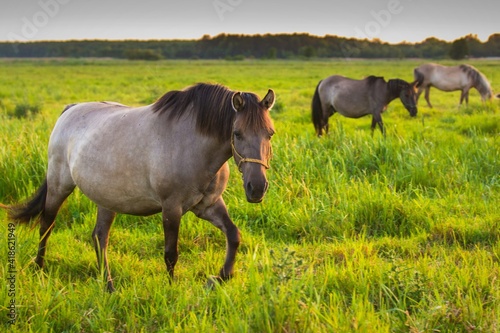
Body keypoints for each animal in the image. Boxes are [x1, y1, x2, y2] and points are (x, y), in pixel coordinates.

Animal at [1, 82, 276, 290]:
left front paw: (220, 278)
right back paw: (39, 269)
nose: (256, 188)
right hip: (59, 185)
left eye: (270, 133)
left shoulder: (208, 206)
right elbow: (171, 253)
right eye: (237, 133)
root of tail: (70, 109)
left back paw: (108, 285)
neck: (193, 144)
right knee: (47, 224)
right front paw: (171, 289)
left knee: (99, 237)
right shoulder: (171, 208)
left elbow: (233, 235)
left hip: (106, 199)